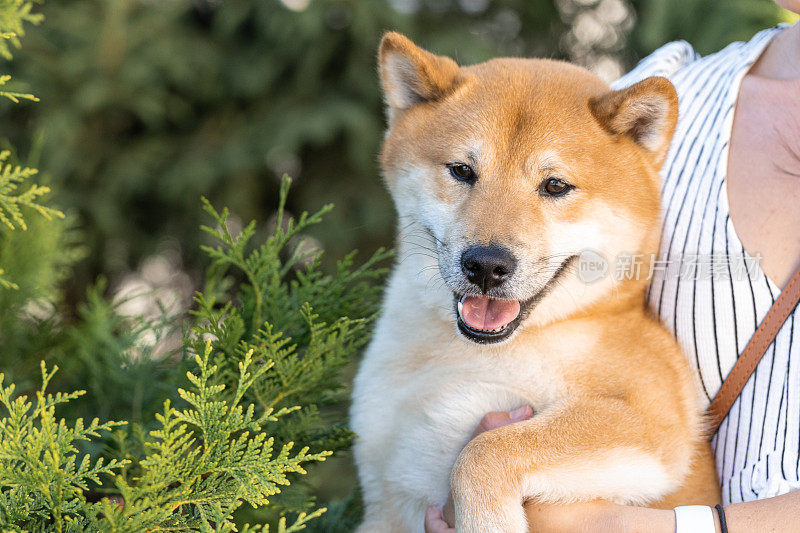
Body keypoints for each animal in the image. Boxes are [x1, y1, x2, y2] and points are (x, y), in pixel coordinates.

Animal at [350, 34, 720, 532]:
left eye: (555, 186)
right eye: (462, 171)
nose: (486, 264)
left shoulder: (651, 419)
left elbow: (484, 450)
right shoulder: (384, 506)